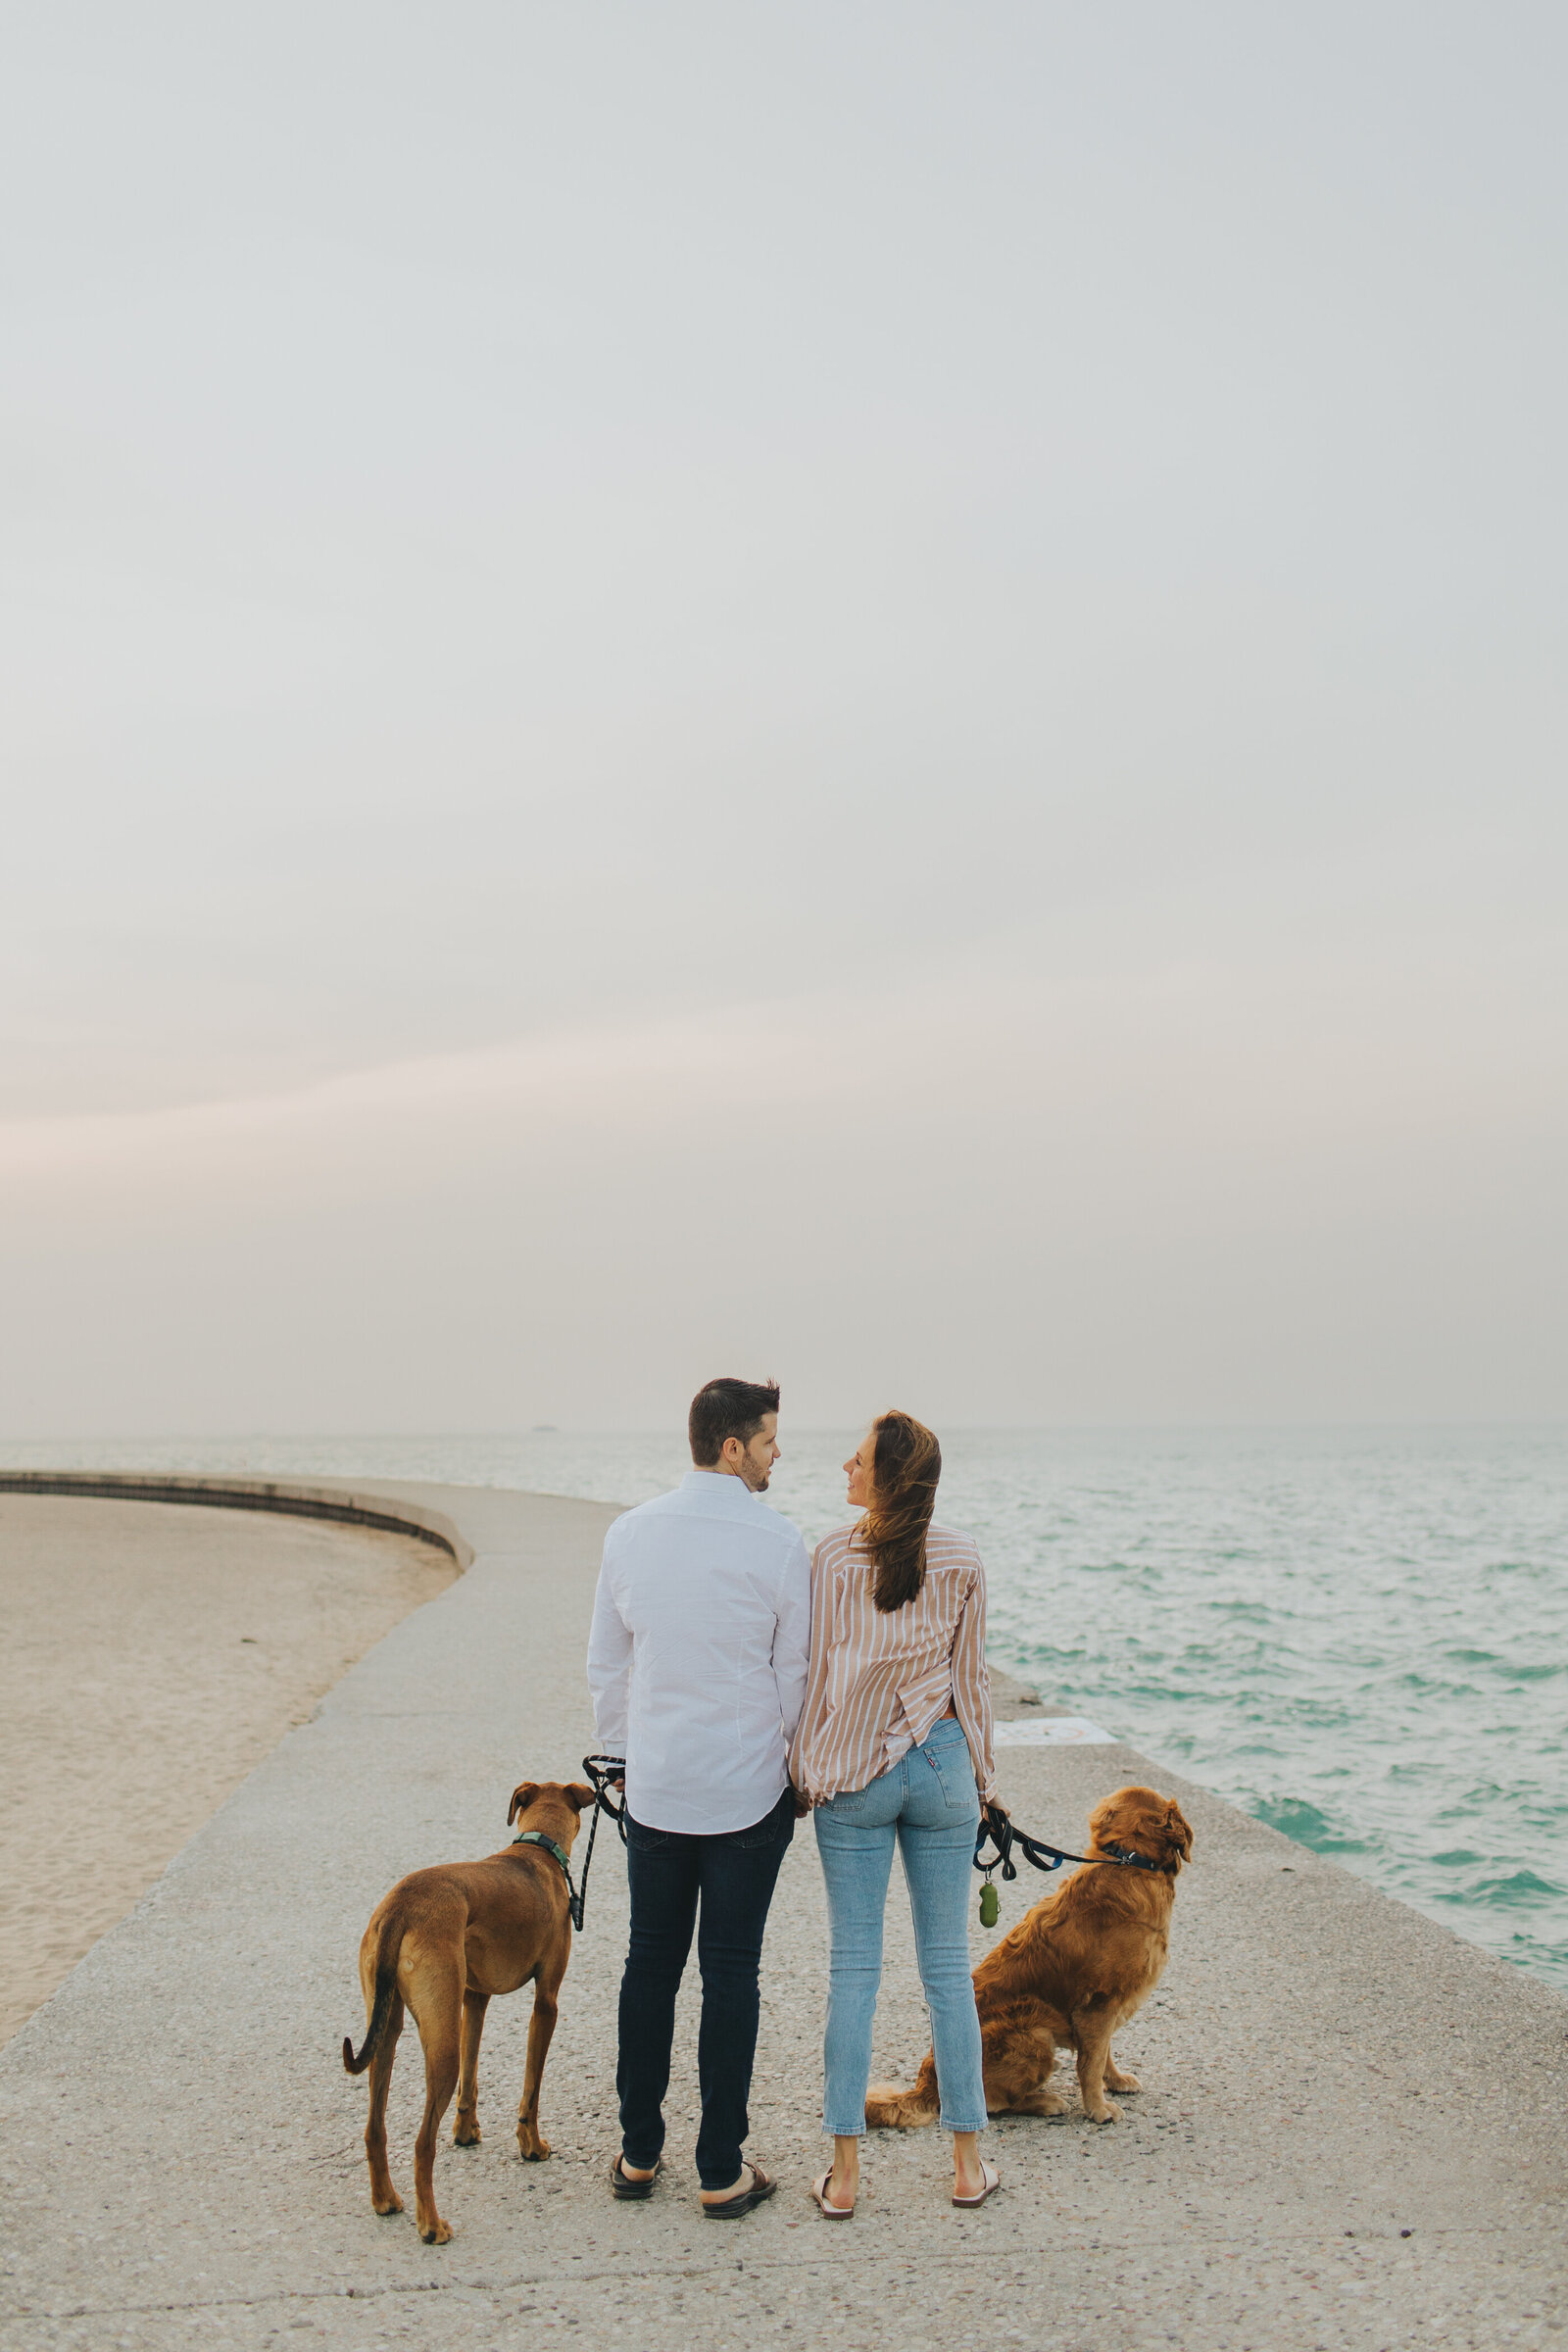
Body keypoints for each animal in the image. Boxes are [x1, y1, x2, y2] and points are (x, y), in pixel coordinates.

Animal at [340, 1778, 592, 2238]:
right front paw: (531, 2146)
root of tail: (401, 1908)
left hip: (387, 2030)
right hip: (441, 2048)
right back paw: (431, 2225)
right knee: (422, 2143)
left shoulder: (474, 1999)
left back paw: (385, 2200)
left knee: (374, 2128)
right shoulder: (546, 2003)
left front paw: (466, 2130)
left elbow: (471, 2078)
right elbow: (531, 2089)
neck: (537, 1850)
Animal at [869, 1778, 1189, 2135]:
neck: (1130, 1861)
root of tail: (927, 2085)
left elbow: (1104, 2052)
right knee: (995, 2102)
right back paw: (1045, 2101)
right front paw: (1098, 2108)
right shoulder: (1096, 2007)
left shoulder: (1104, 2011)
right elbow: (1091, 2064)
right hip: (1034, 2034)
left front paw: (1116, 2081)